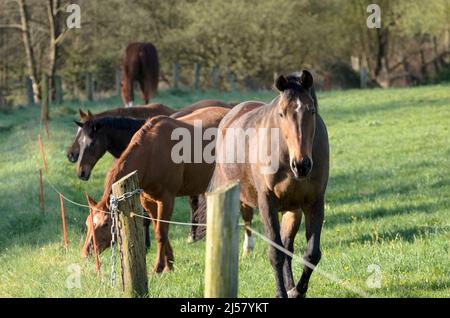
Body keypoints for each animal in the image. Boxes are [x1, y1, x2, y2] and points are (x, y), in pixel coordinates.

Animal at [192, 70, 326, 298]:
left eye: (312, 110)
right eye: (281, 113)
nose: (301, 165)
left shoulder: (314, 203)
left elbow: (311, 255)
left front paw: (296, 291)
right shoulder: (266, 203)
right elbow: (275, 253)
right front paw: (281, 293)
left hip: (293, 210)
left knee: (288, 246)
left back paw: (291, 286)